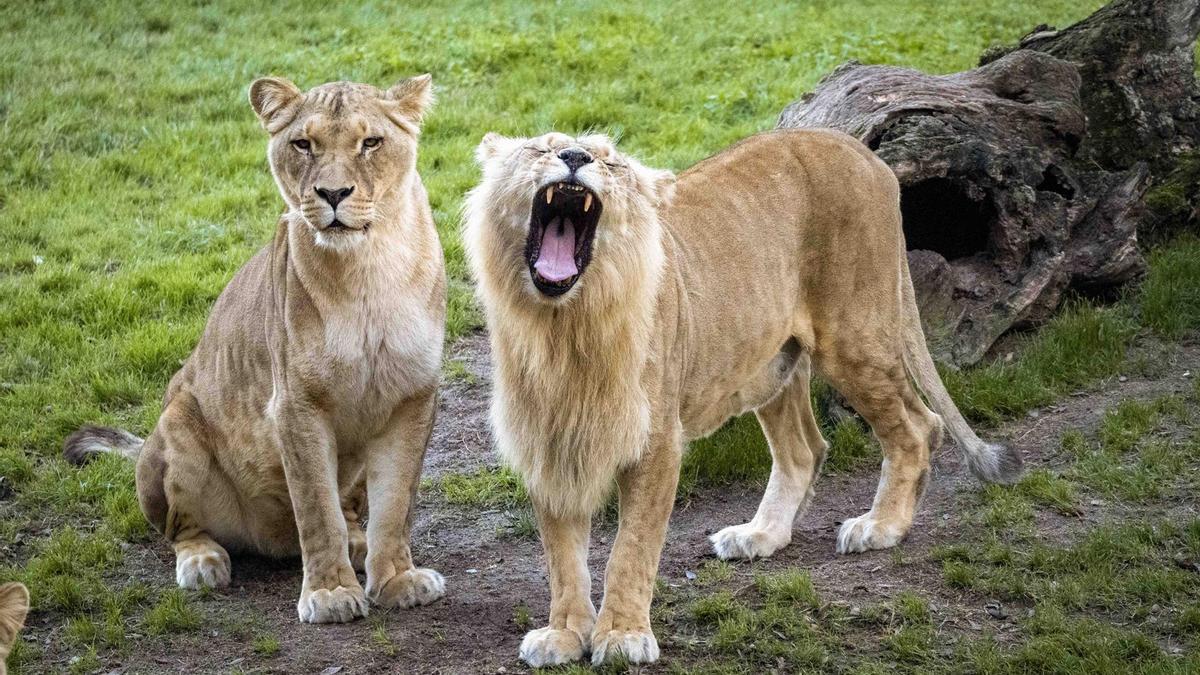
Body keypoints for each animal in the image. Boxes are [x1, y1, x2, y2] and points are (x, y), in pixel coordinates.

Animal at [62, 73, 446, 619]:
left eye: (371, 142)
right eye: (303, 145)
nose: (332, 193)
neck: (368, 269)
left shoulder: (413, 398)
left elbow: (395, 504)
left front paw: (397, 580)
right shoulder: (296, 405)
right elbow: (315, 509)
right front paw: (330, 594)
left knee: (352, 512)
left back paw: (358, 543)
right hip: (178, 421)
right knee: (179, 528)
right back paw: (202, 562)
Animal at [463, 128, 1017, 662]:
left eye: (609, 161)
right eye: (541, 148)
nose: (576, 157)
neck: (565, 328)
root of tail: (860, 151)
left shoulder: (657, 441)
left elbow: (631, 547)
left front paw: (622, 636)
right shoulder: (548, 441)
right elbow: (562, 557)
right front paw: (563, 634)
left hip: (854, 337)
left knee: (920, 426)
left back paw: (881, 526)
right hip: (773, 361)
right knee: (805, 450)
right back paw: (761, 535)